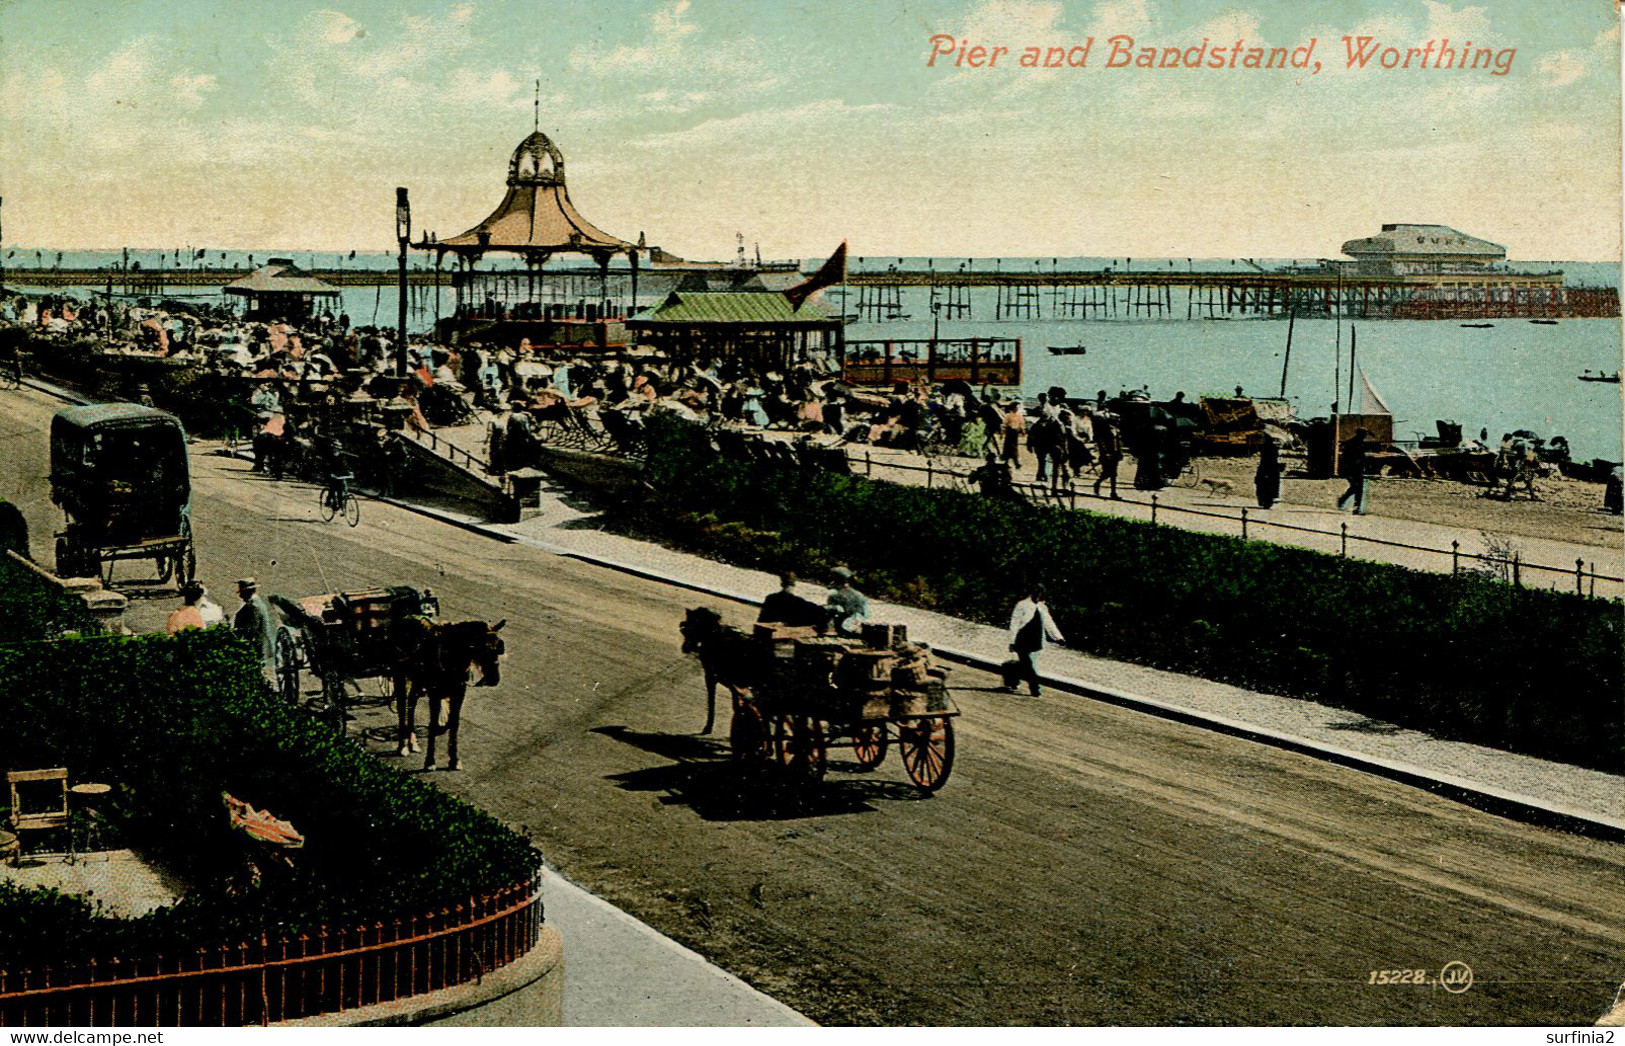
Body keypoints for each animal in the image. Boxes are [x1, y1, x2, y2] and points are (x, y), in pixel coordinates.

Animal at [393, 617, 500, 773]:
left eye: (499, 648)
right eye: (482, 648)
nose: (495, 679)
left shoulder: (459, 694)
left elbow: (454, 724)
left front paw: (454, 760)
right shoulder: (435, 694)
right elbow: (432, 725)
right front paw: (430, 761)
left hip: (418, 680)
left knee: (411, 703)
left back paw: (413, 742)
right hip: (400, 676)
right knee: (402, 706)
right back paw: (403, 746)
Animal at [682, 604, 763, 734]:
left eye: (689, 626)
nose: (685, 647)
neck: (714, 636)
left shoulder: (710, 675)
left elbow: (712, 700)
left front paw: (708, 726)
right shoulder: (724, 677)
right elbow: (733, 693)